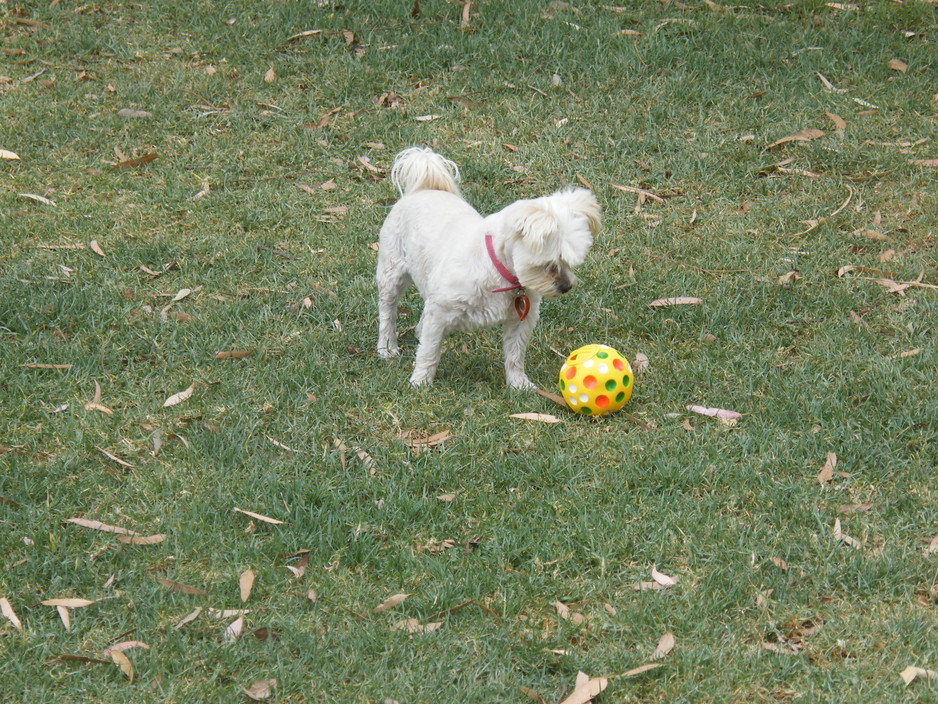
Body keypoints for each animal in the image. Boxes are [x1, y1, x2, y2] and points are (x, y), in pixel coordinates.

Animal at [374, 148, 600, 388]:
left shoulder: (522, 318)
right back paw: (387, 347)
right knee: (388, 311)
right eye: (549, 264)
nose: (566, 286)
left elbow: (515, 354)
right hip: (392, 271)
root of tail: (424, 188)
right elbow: (429, 352)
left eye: (570, 263)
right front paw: (421, 382)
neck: (496, 269)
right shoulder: (440, 312)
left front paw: (518, 384)